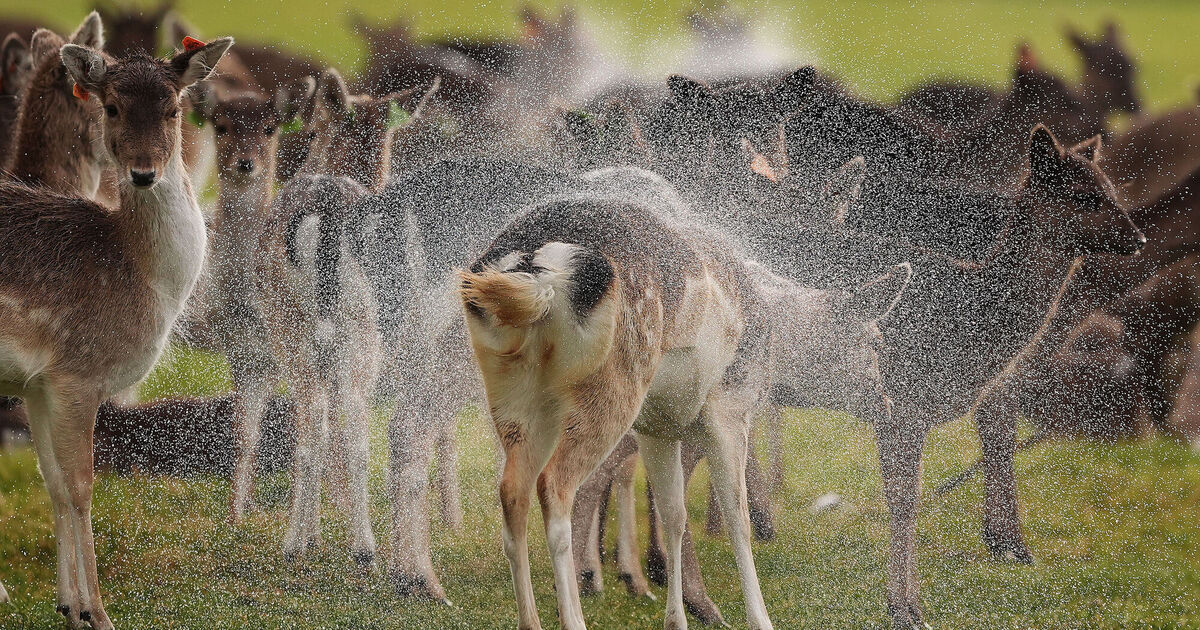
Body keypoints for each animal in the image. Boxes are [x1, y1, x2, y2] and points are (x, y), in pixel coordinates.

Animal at [0, 33, 233, 630]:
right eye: (111, 107)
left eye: (174, 108)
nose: (145, 173)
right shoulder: (78, 372)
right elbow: (83, 486)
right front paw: (98, 614)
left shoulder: (39, 383)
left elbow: (55, 484)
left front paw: (68, 607)